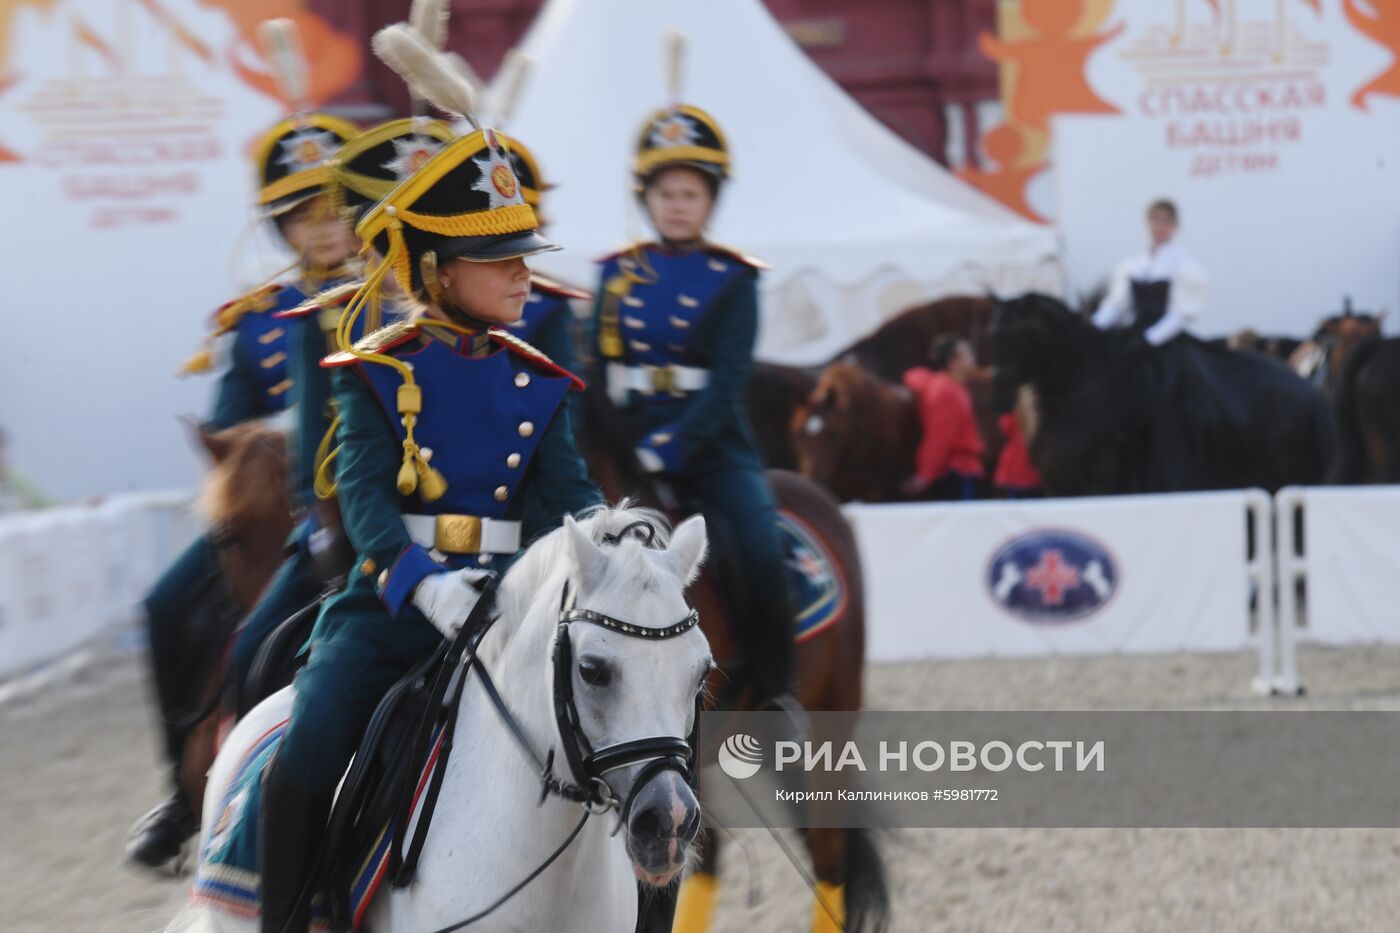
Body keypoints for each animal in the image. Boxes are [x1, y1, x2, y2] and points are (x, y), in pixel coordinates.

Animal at [985, 292, 1332, 493]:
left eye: (1018, 336)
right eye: (991, 336)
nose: (997, 397)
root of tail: (1314, 396)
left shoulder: (1101, 486)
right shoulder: (1060, 487)